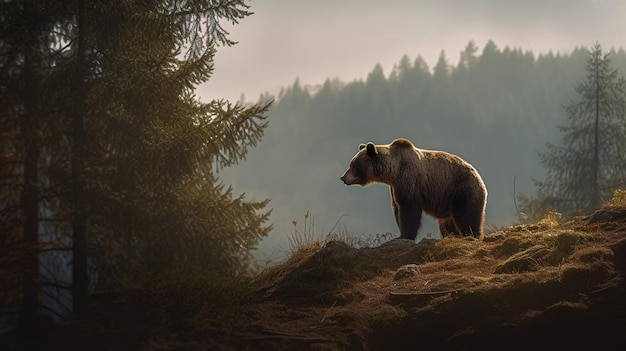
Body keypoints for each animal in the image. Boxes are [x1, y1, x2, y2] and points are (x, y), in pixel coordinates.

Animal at [338, 139, 486, 241]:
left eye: (353, 165)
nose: (343, 177)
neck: (393, 171)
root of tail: (479, 178)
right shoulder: (394, 186)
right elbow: (397, 209)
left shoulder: (408, 178)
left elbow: (409, 207)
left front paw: (405, 235)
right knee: (447, 225)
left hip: (461, 190)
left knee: (466, 214)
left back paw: (471, 235)